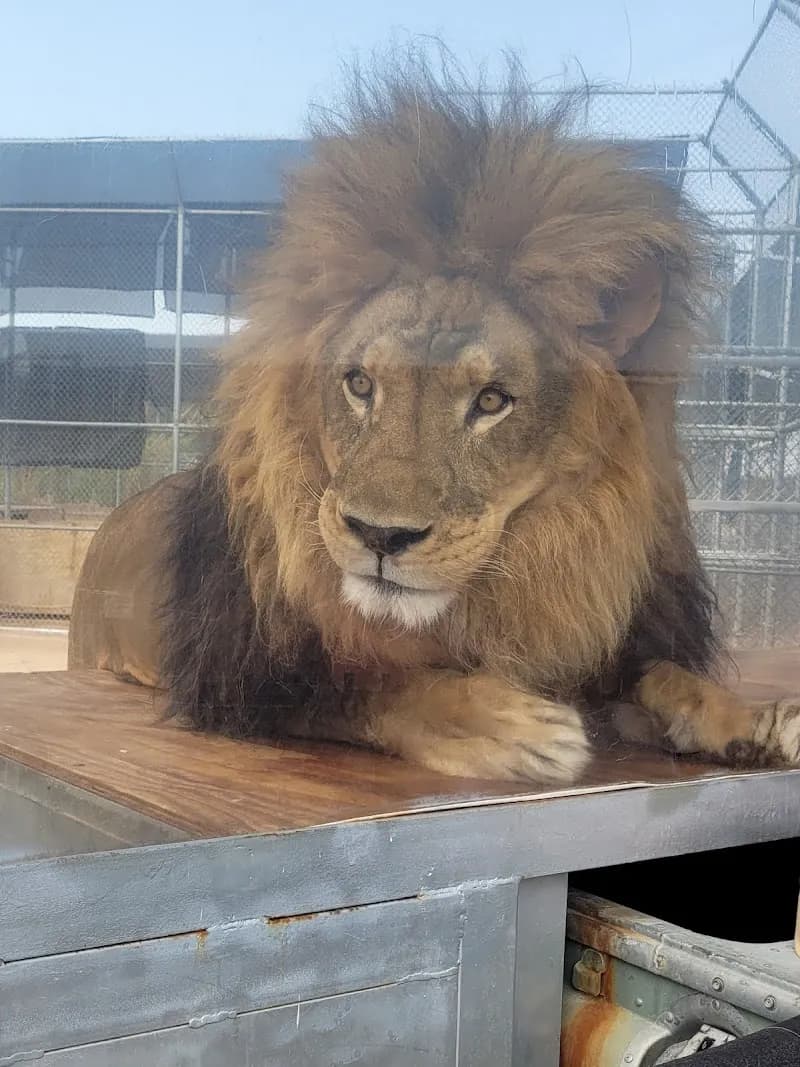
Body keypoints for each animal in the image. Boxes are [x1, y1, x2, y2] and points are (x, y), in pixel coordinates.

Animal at [69, 55, 800, 784]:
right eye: (360, 384)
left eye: (492, 400)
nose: (380, 536)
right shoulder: (246, 678)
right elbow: (381, 682)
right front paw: (518, 728)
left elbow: (667, 676)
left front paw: (755, 720)